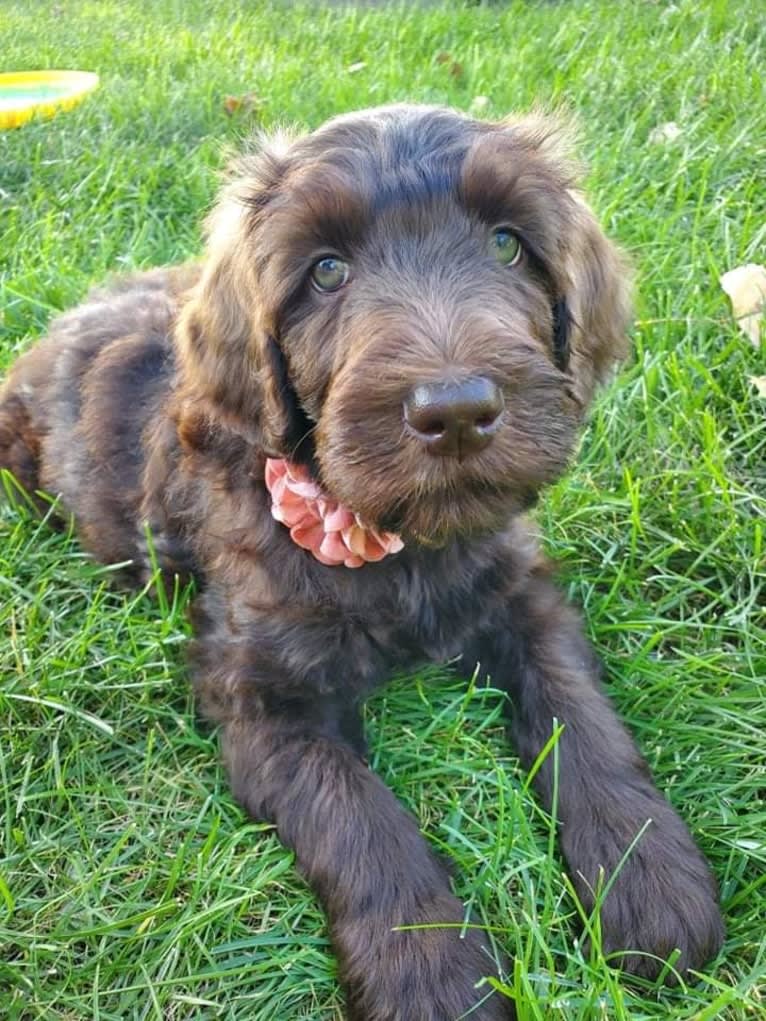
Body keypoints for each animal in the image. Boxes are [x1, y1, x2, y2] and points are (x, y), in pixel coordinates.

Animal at [0, 105, 727, 1021]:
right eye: (327, 271)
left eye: (506, 244)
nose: (455, 411)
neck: (404, 543)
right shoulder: (258, 696)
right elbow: (358, 815)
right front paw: (432, 977)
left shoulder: (522, 592)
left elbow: (580, 716)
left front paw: (651, 875)